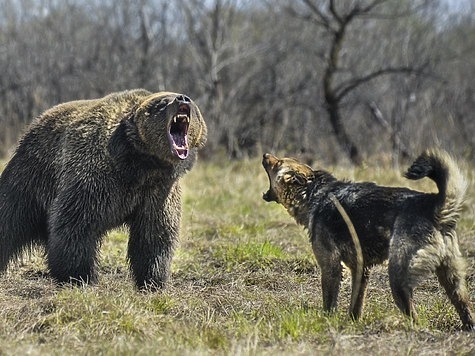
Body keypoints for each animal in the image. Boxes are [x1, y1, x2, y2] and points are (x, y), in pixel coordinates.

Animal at [0, 89, 207, 290]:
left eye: (189, 100)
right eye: (162, 103)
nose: (182, 98)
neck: (140, 164)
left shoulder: (159, 192)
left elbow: (154, 235)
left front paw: (153, 280)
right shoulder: (96, 177)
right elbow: (76, 224)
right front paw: (78, 276)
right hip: (33, 176)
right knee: (10, 217)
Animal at [262, 149, 474, 330]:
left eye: (278, 162)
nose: (265, 155)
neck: (314, 193)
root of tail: (433, 205)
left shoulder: (330, 265)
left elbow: (329, 301)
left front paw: (326, 322)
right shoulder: (360, 269)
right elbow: (356, 304)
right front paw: (352, 323)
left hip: (398, 278)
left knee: (415, 316)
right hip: (452, 279)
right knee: (464, 306)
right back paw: (467, 327)